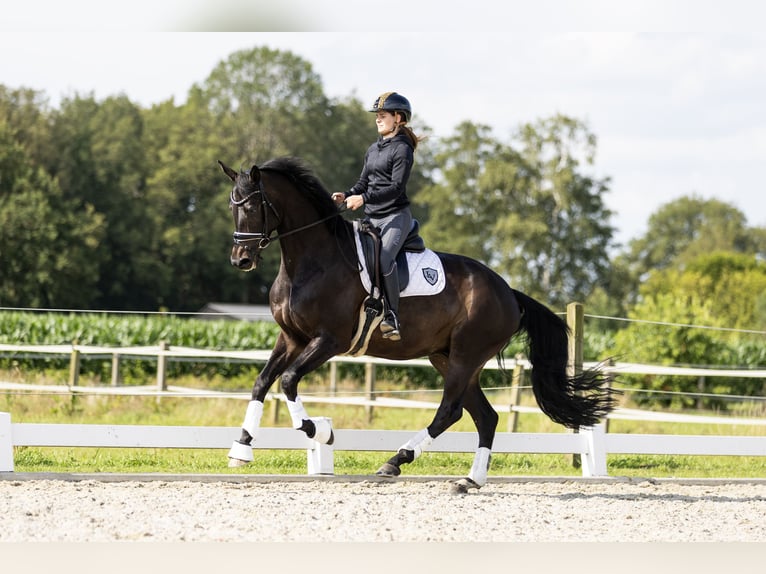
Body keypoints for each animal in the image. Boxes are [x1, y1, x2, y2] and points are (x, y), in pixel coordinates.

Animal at [216, 159, 616, 496]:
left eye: (251, 207)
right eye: (233, 207)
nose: (241, 260)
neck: (311, 262)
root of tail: (508, 292)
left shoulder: (328, 341)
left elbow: (288, 381)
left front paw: (322, 431)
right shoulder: (291, 338)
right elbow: (262, 382)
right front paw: (241, 448)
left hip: (466, 356)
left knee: (450, 411)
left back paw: (396, 460)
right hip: (448, 357)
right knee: (485, 417)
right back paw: (469, 480)